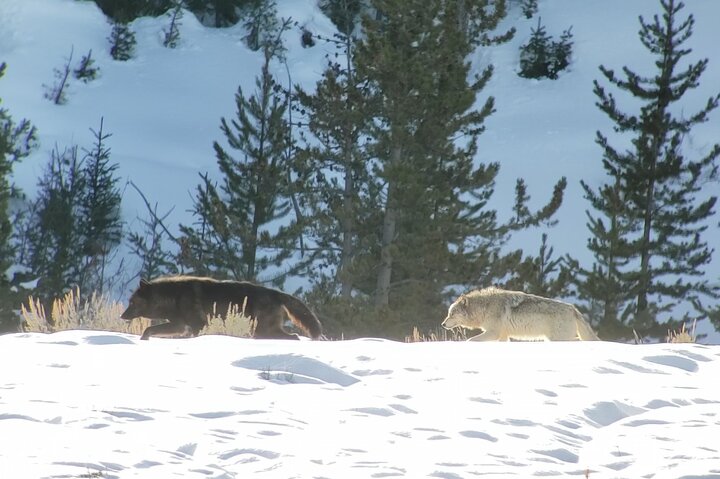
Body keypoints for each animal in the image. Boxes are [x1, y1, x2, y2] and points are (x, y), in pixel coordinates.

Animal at [120, 276, 323, 341]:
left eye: (132, 302)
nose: (122, 316)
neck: (175, 297)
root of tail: (277, 293)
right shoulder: (179, 325)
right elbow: (150, 329)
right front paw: (143, 339)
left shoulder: (198, 325)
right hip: (263, 331)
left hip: (263, 331)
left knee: (293, 337)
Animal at [442, 287, 599, 341]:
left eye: (452, 314)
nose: (443, 324)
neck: (485, 307)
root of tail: (573, 308)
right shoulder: (503, 336)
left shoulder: (493, 333)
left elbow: (469, 340)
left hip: (557, 339)